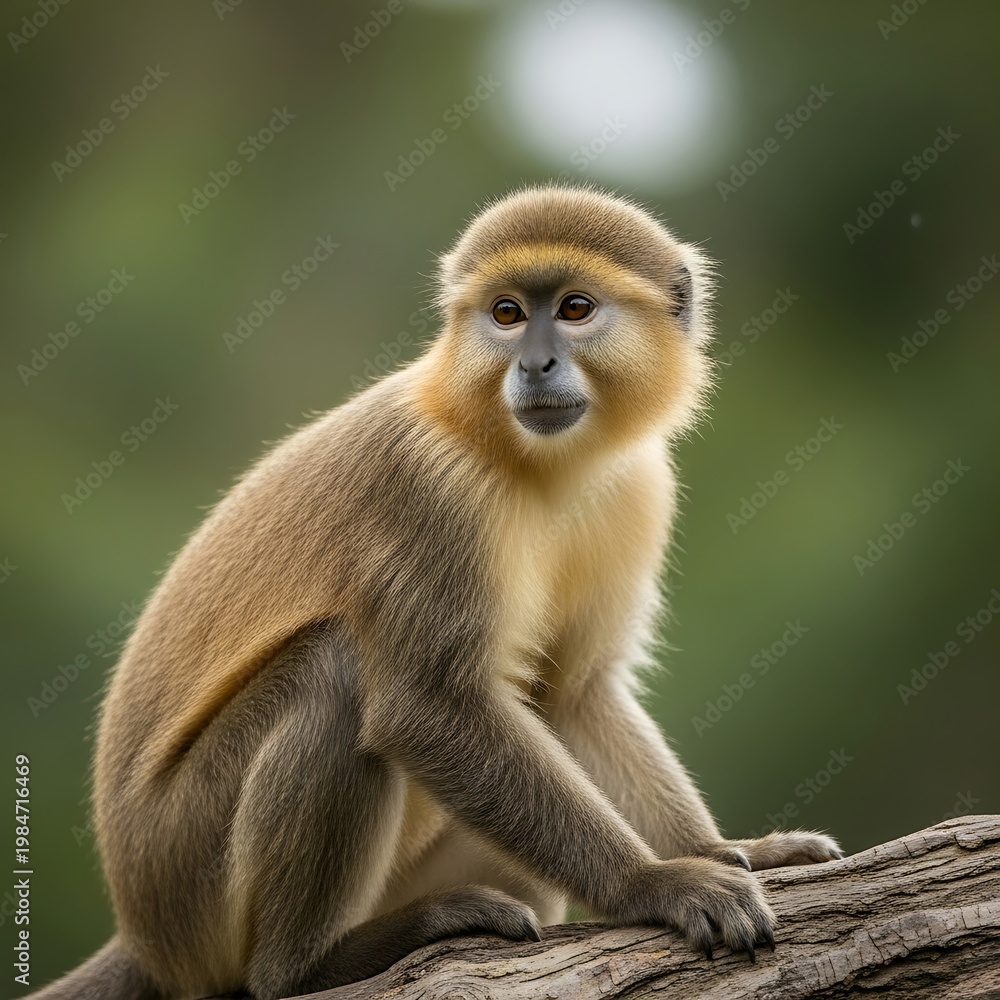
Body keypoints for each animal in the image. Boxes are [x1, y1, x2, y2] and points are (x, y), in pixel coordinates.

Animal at [29, 183, 842, 1000]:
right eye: (507, 313)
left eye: (574, 309)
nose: (536, 362)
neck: (524, 457)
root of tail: (144, 934)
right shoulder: (432, 486)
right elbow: (426, 710)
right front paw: (654, 883)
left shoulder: (637, 489)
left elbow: (574, 695)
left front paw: (727, 848)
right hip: (191, 875)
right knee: (334, 674)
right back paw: (315, 963)